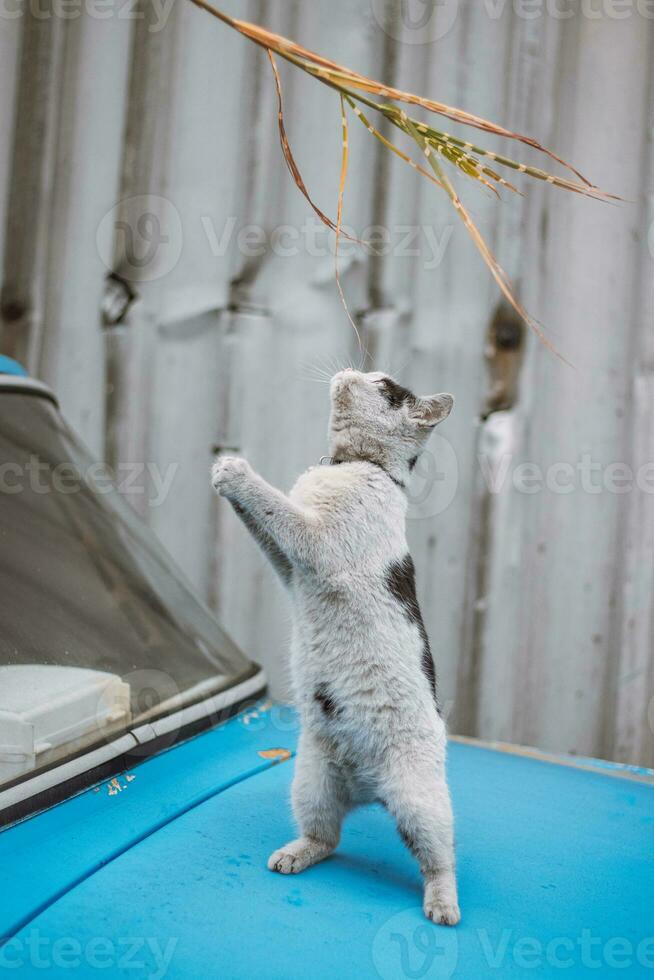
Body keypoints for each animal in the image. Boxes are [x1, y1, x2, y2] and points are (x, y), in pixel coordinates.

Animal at [213, 370, 458, 928]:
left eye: (384, 385)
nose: (352, 373)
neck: (355, 465)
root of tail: (370, 790)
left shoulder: (315, 544)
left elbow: (276, 505)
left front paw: (236, 472)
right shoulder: (289, 569)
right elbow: (264, 525)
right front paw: (224, 474)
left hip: (421, 800)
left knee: (439, 858)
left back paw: (444, 904)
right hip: (311, 783)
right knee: (326, 837)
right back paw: (295, 854)